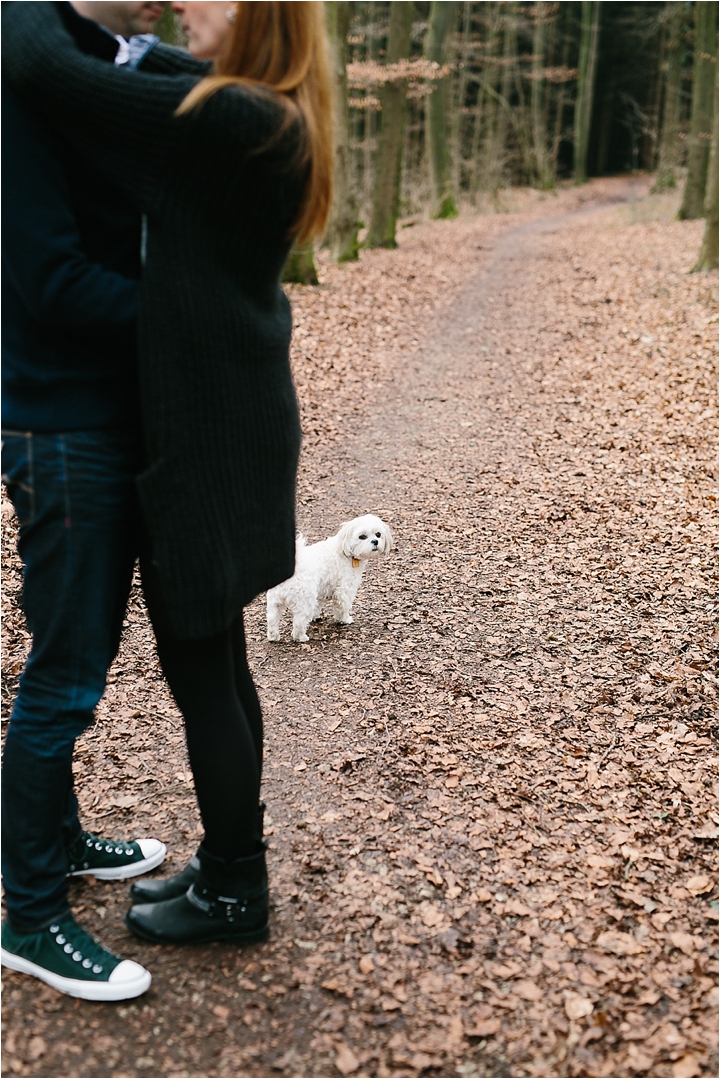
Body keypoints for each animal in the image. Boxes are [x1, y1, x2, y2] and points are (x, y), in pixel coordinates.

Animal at [267, 513, 395, 638]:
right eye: (362, 536)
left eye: (378, 534)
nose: (375, 541)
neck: (345, 550)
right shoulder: (344, 589)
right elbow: (342, 606)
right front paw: (345, 620)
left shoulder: (321, 589)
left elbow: (318, 605)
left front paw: (316, 617)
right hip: (305, 601)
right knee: (299, 622)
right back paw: (301, 637)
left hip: (274, 603)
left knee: (272, 621)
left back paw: (273, 637)